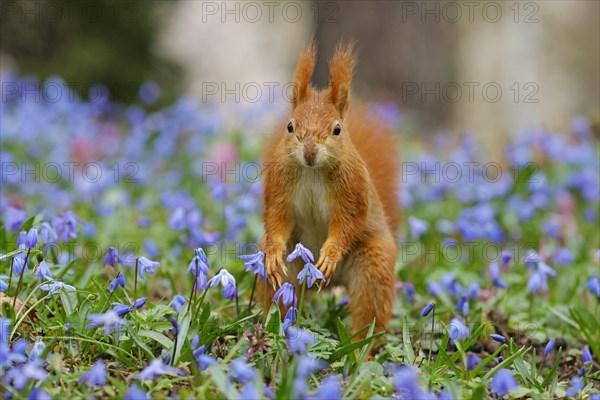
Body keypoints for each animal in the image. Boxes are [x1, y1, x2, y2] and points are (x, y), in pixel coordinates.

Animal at [258, 42, 398, 338]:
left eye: (337, 129)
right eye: (290, 126)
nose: (310, 151)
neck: (312, 171)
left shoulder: (352, 190)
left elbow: (348, 222)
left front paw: (331, 254)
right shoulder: (279, 186)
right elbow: (276, 217)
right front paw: (273, 252)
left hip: (373, 266)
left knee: (370, 311)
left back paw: (360, 346)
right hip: (290, 266)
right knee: (279, 293)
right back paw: (276, 328)